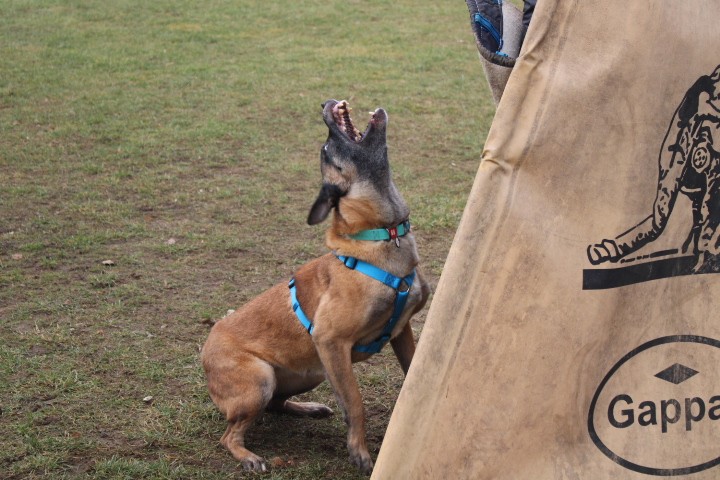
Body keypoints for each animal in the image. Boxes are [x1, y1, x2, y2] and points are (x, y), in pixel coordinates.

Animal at [200, 99, 430, 474]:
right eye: (326, 149)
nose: (325, 103)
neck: (383, 235)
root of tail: (205, 348)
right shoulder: (331, 341)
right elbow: (355, 402)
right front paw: (359, 452)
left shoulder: (402, 330)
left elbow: (412, 370)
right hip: (262, 379)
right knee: (229, 434)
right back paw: (248, 456)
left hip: (311, 373)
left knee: (276, 405)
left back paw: (308, 408)